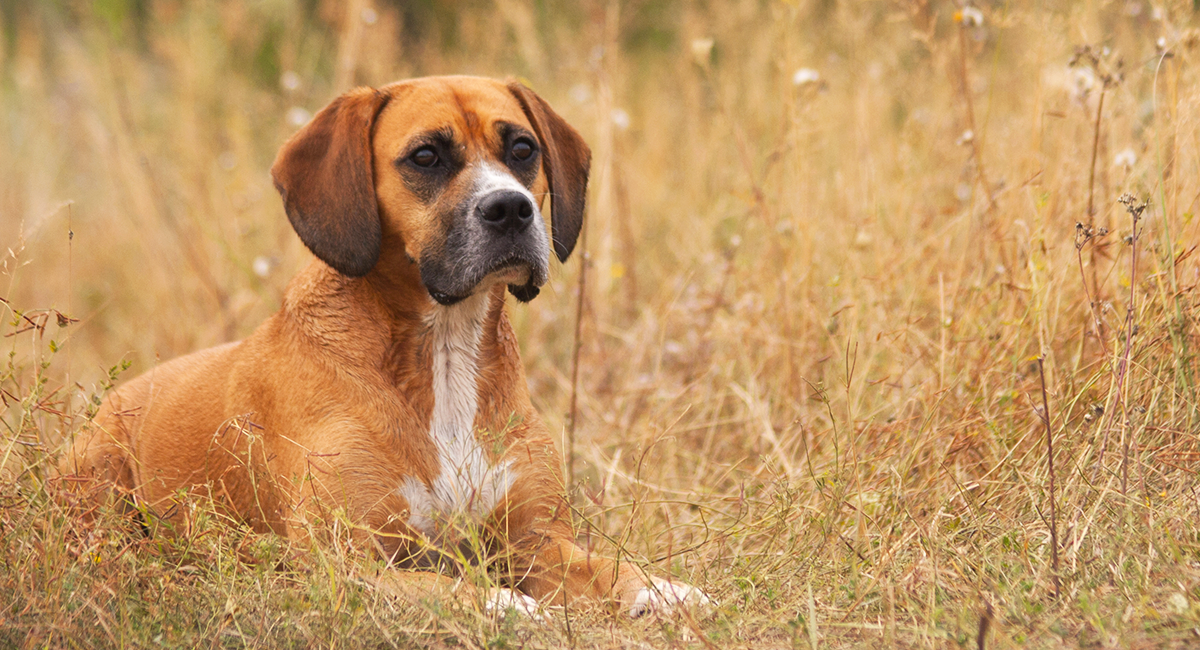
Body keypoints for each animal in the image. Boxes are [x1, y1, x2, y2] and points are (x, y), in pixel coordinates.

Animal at [60, 73, 710, 618]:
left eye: (523, 149)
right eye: (425, 156)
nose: (511, 208)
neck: (443, 351)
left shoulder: (538, 543)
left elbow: (611, 568)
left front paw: (663, 590)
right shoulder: (346, 559)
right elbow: (447, 587)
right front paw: (508, 605)